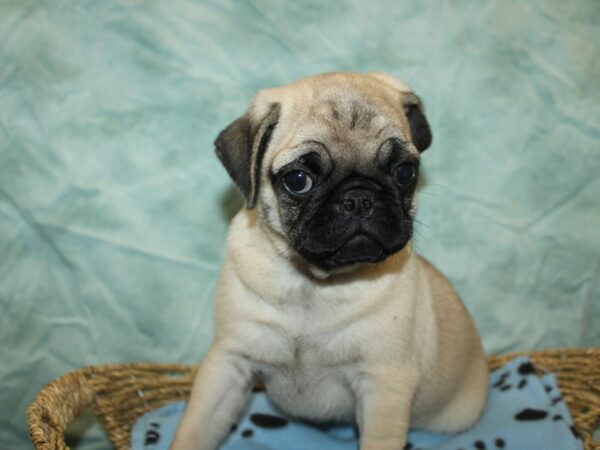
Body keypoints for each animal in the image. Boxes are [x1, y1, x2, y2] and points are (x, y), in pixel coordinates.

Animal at [171, 72, 490, 450]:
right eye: (298, 180)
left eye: (405, 172)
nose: (359, 198)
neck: (313, 282)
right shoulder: (230, 361)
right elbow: (197, 427)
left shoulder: (385, 384)